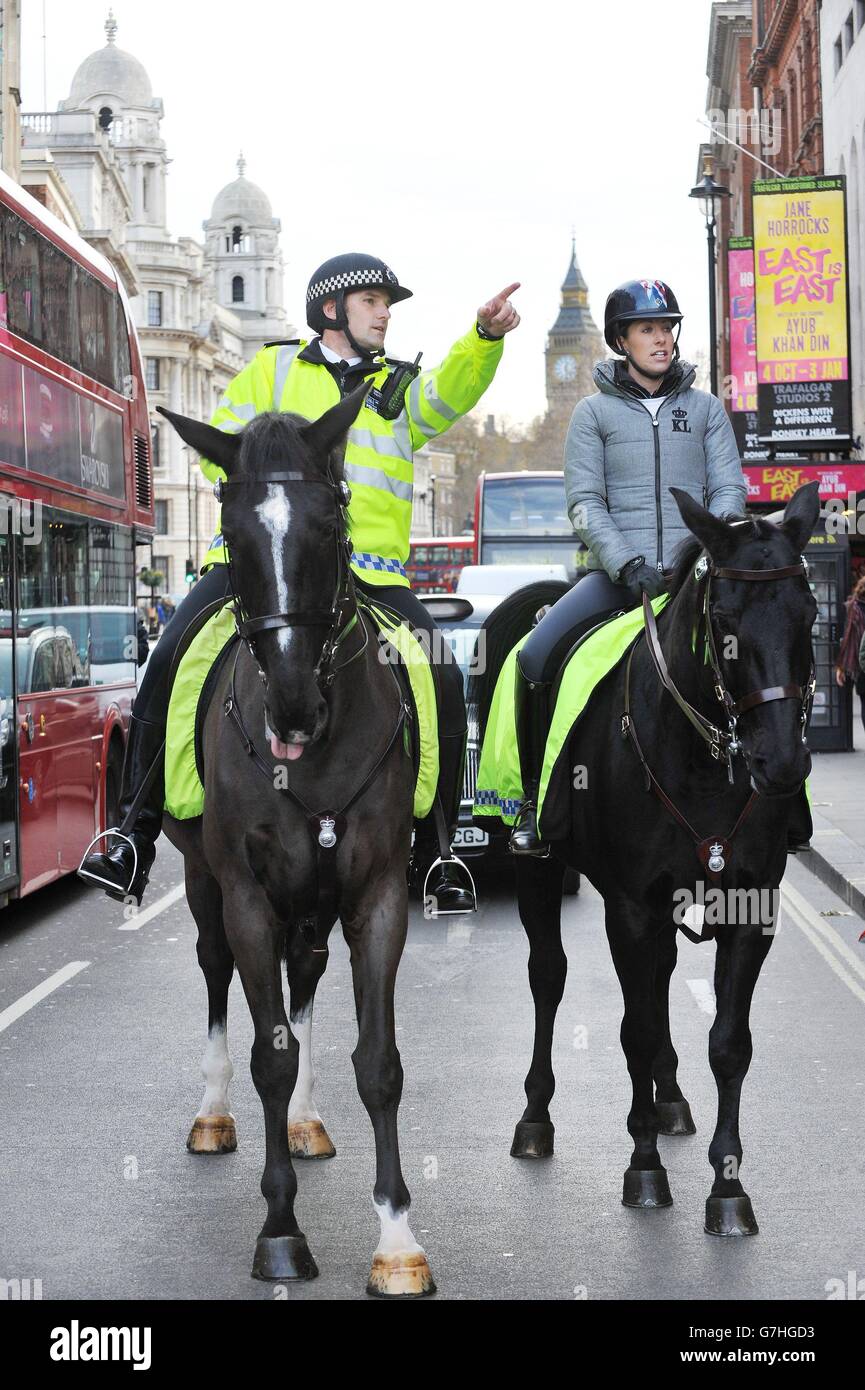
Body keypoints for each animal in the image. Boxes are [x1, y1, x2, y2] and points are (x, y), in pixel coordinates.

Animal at [159, 386, 436, 1295]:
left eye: (330, 521)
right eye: (231, 531)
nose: (290, 707)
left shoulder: (377, 893)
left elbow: (377, 1062)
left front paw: (396, 1240)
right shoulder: (246, 895)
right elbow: (267, 1055)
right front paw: (280, 1231)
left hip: (314, 897)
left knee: (306, 977)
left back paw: (307, 1121)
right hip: (206, 883)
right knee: (216, 973)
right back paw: (213, 1115)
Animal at [478, 483, 823, 1234]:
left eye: (809, 612)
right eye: (723, 618)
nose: (781, 764)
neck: (703, 758)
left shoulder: (749, 904)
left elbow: (728, 1041)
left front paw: (727, 1187)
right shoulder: (631, 907)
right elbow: (632, 1029)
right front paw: (643, 1169)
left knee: (660, 980)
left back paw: (669, 1101)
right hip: (538, 869)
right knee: (548, 977)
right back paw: (536, 1118)